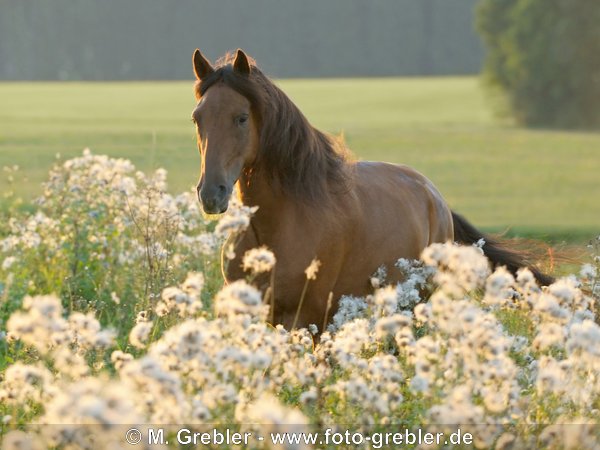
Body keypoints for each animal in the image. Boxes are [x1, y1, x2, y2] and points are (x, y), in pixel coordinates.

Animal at [189, 48, 552, 330]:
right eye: (197, 118)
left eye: (241, 118)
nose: (212, 193)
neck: (278, 226)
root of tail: (435, 196)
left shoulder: (307, 317)